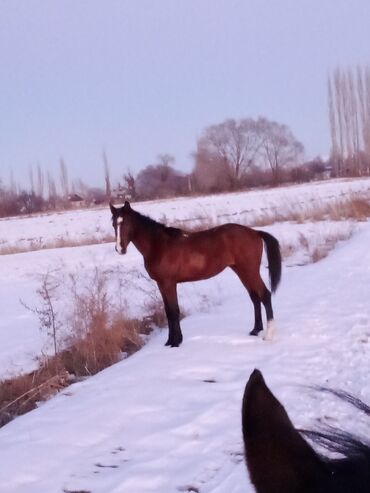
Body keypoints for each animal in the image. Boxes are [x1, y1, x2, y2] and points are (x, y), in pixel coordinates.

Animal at [110, 200, 280, 346]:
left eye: (126, 223)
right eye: (113, 224)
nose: (119, 249)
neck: (159, 245)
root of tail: (255, 232)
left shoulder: (168, 283)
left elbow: (174, 311)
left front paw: (176, 342)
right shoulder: (161, 284)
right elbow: (168, 311)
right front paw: (170, 341)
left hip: (250, 271)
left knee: (265, 295)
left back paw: (268, 335)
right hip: (241, 271)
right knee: (255, 297)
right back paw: (255, 330)